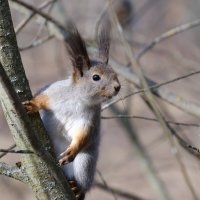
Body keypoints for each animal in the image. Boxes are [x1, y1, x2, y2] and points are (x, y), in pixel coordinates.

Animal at [23, 20, 120, 200]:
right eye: (96, 77)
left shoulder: (90, 118)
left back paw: (77, 189)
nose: (118, 87)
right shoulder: (52, 92)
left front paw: (72, 151)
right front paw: (32, 105)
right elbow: (41, 97)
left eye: (114, 73)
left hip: (85, 163)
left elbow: (83, 134)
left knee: (83, 179)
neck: (78, 98)